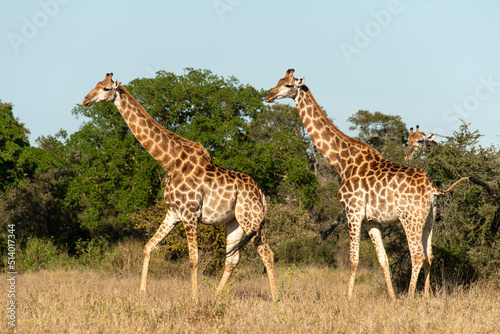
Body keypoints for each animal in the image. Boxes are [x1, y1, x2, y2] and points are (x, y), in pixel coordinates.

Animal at [82, 72, 278, 300]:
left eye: (105, 88)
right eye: (97, 84)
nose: (86, 100)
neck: (169, 162)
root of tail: (261, 194)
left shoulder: (190, 214)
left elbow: (194, 259)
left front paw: (194, 297)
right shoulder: (173, 214)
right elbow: (148, 247)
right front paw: (142, 292)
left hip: (251, 220)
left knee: (267, 253)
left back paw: (277, 297)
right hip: (235, 223)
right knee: (232, 259)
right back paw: (216, 297)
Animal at [266, 69, 476, 298]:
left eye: (288, 85)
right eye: (278, 81)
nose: (268, 96)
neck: (341, 162)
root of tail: (433, 188)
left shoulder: (353, 212)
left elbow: (353, 259)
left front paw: (348, 298)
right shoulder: (371, 221)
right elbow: (383, 259)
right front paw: (392, 298)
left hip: (410, 218)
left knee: (417, 255)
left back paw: (410, 297)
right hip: (429, 220)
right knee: (429, 255)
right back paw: (425, 296)